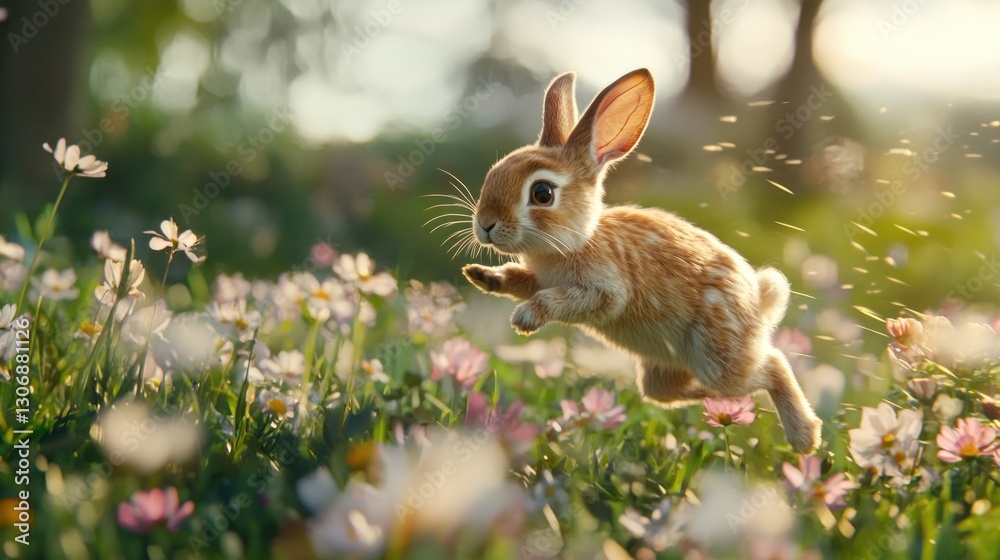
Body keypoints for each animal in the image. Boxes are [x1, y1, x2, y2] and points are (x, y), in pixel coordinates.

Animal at [459, 68, 822, 454]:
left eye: (542, 193)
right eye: (494, 171)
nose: (485, 225)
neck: (576, 240)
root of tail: (759, 302)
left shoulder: (605, 290)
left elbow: (570, 300)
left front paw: (525, 318)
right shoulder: (538, 278)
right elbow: (519, 280)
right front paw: (481, 276)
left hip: (720, 354)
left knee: (773, 365)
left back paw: (804, 437)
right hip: (663, 369)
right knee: (668, 393)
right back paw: (727, 405)